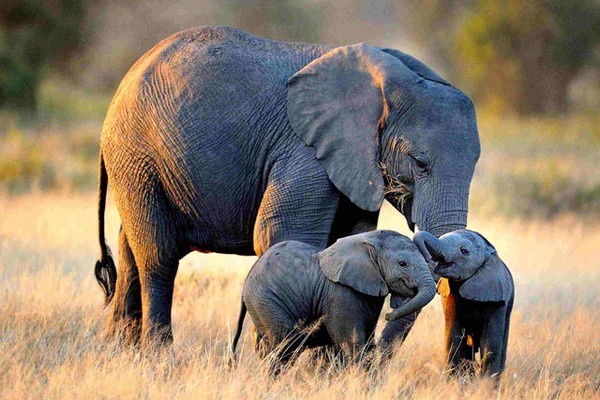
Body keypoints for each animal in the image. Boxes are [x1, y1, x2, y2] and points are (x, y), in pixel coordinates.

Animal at [94, 26, 480, 346]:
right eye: (420, 163)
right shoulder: (304, 151)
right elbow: (282, 234)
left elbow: (350, 236)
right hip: (137, 156)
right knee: (157, 256)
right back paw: (158, 357)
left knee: (129, 249)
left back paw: (118, 352)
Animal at [231, 230, 436, 370]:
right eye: (403, 264)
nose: (389, 315)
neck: (369, 240)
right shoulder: (341, 295)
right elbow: (352, 344)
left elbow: (367, 343)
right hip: (267, 301)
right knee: (284, 346)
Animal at [412, 230, 516, 380]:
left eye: (464, 251)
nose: (426, 257)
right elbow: (454, 337)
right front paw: (454, 381)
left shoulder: (497, 297)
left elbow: (490, 343)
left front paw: (486, 385)